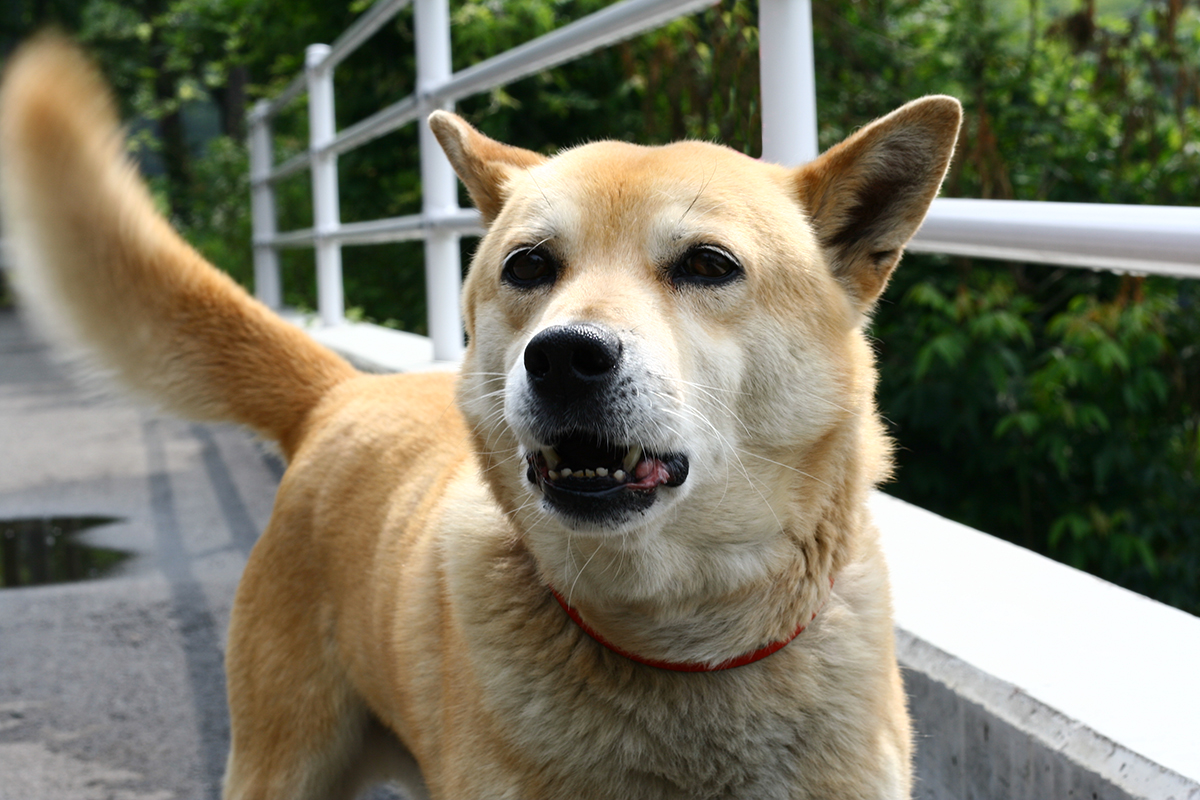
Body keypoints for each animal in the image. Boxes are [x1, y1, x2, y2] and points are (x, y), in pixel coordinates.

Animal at [0, 37, 960, 800]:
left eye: (708, 264)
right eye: (530, 264)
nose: (564, 356)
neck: (676, 644)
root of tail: (343, 393)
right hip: (281, 765)